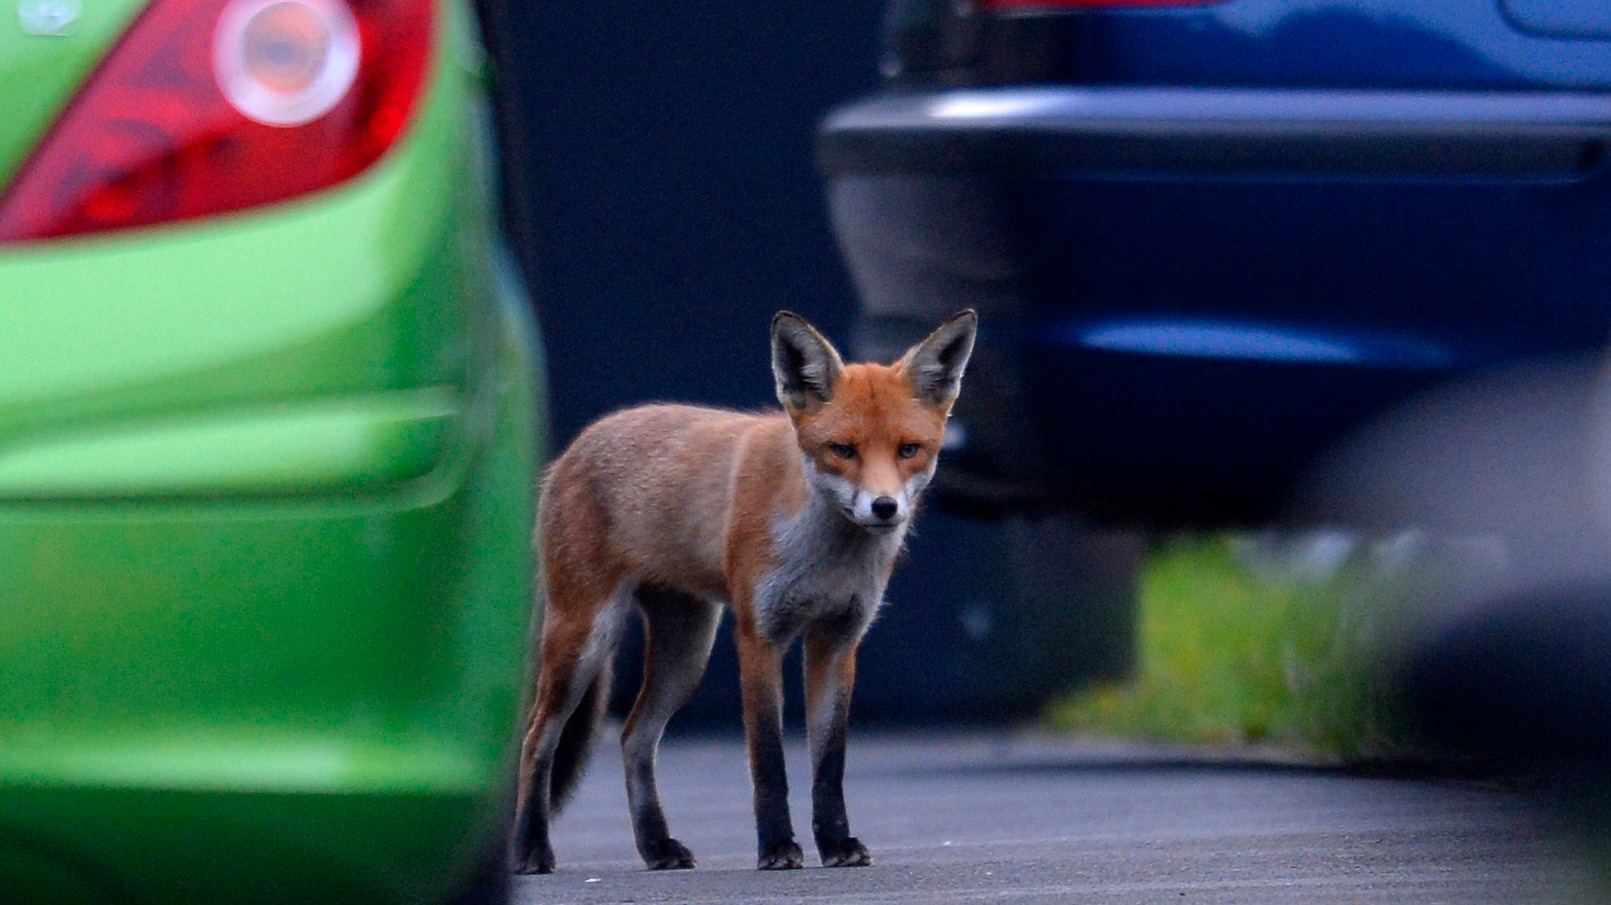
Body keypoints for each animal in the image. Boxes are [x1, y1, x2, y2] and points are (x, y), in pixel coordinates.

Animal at [510, 309, 977, 874]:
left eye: (909, 450)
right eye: (842, 450)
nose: (884, 507)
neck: (825, 556)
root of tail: (574, 447)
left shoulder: (838, 641)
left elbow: (830, 764)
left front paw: (836, 843)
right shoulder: (759, 636)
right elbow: (768, 761)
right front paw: (776, 846)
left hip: (685, 653)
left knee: (633, 738)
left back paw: (656, 846)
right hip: (585, 639)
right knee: (537, 740)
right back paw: (531, 848)